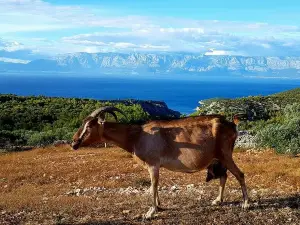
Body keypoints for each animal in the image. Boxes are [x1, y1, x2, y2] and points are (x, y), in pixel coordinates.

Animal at [71, 106, 250, 219]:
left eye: (89, 126)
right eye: (83, 123)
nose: (74, 143)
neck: (137, 135)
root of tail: (232, 124)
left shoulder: (153, 164)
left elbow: (153, 185)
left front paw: (151, 212)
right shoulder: (154, 166)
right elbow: (156, 185)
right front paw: (159, 206)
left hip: (225, 155)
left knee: (240, 174)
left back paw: (246, 204)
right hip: (219, 159)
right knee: (224, 176)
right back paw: (218, 200)